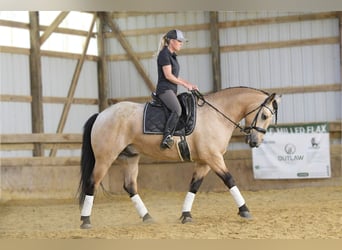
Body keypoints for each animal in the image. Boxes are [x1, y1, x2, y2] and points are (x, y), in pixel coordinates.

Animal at [77, 86, 280, 229]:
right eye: (264, 115)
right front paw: (245, 210)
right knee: (92, 183)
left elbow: (194, 185)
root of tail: (101, 114)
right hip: (105, 158)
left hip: (131, 157)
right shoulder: (213, 158)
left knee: (130, 186)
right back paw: (86, 220)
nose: (255, 141)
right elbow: (229, 179)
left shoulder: (204, 161)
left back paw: (147, 217)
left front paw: (186, 215)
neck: (217, 115)